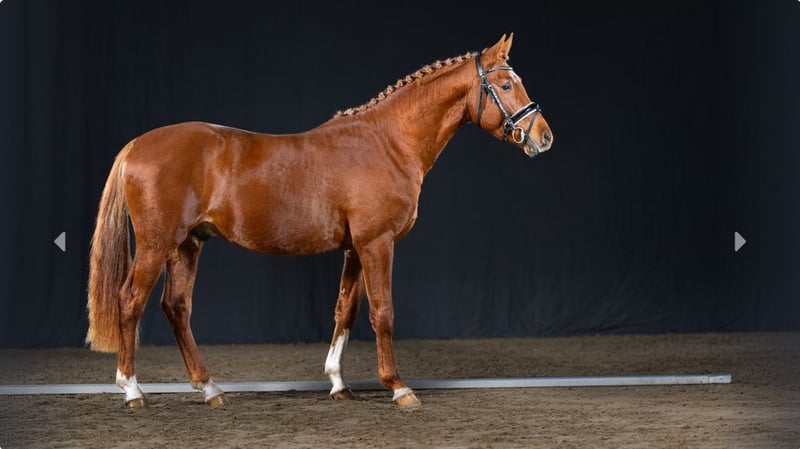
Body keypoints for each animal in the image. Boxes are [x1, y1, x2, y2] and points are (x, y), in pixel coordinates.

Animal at [86, 33, 554, 409]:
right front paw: (398, 387)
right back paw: (133, 391)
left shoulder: (354, 248)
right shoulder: (377, 243)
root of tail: (138, 144)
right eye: (506, 84)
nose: (544, 136)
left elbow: (345, 310)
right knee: (130, 301)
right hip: (156, 244)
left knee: (176, 307)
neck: (385, 143)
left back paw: (210, 389)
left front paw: (338, 384)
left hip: (188, 244)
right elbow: (383, 312)